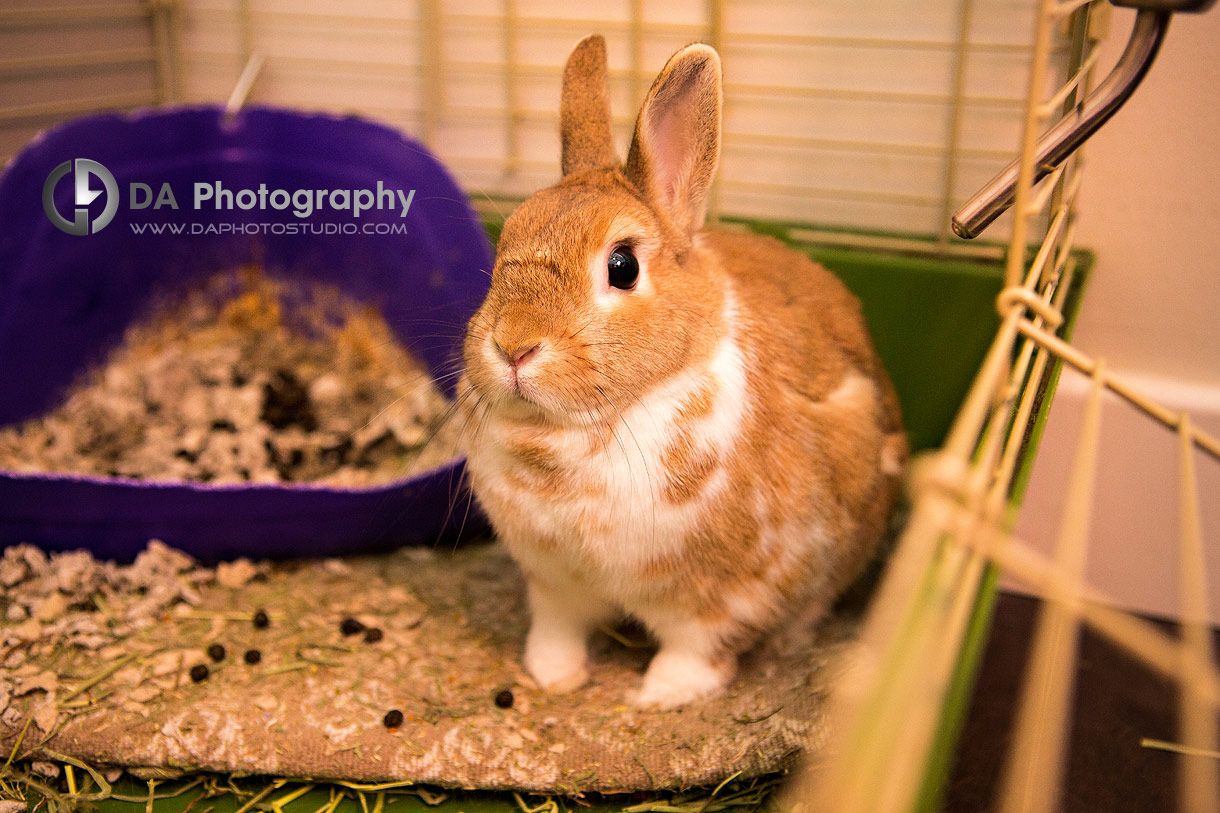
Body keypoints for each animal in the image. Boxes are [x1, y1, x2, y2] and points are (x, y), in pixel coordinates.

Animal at [458, 34, 907, 708]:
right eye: (504, 243)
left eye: (622, 266)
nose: (513, 346)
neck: (574, 434)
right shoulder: (554, 582)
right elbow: (558, 628)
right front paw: (553, 675)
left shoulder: (725, 597)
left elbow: (696, 648)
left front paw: (659, 696)